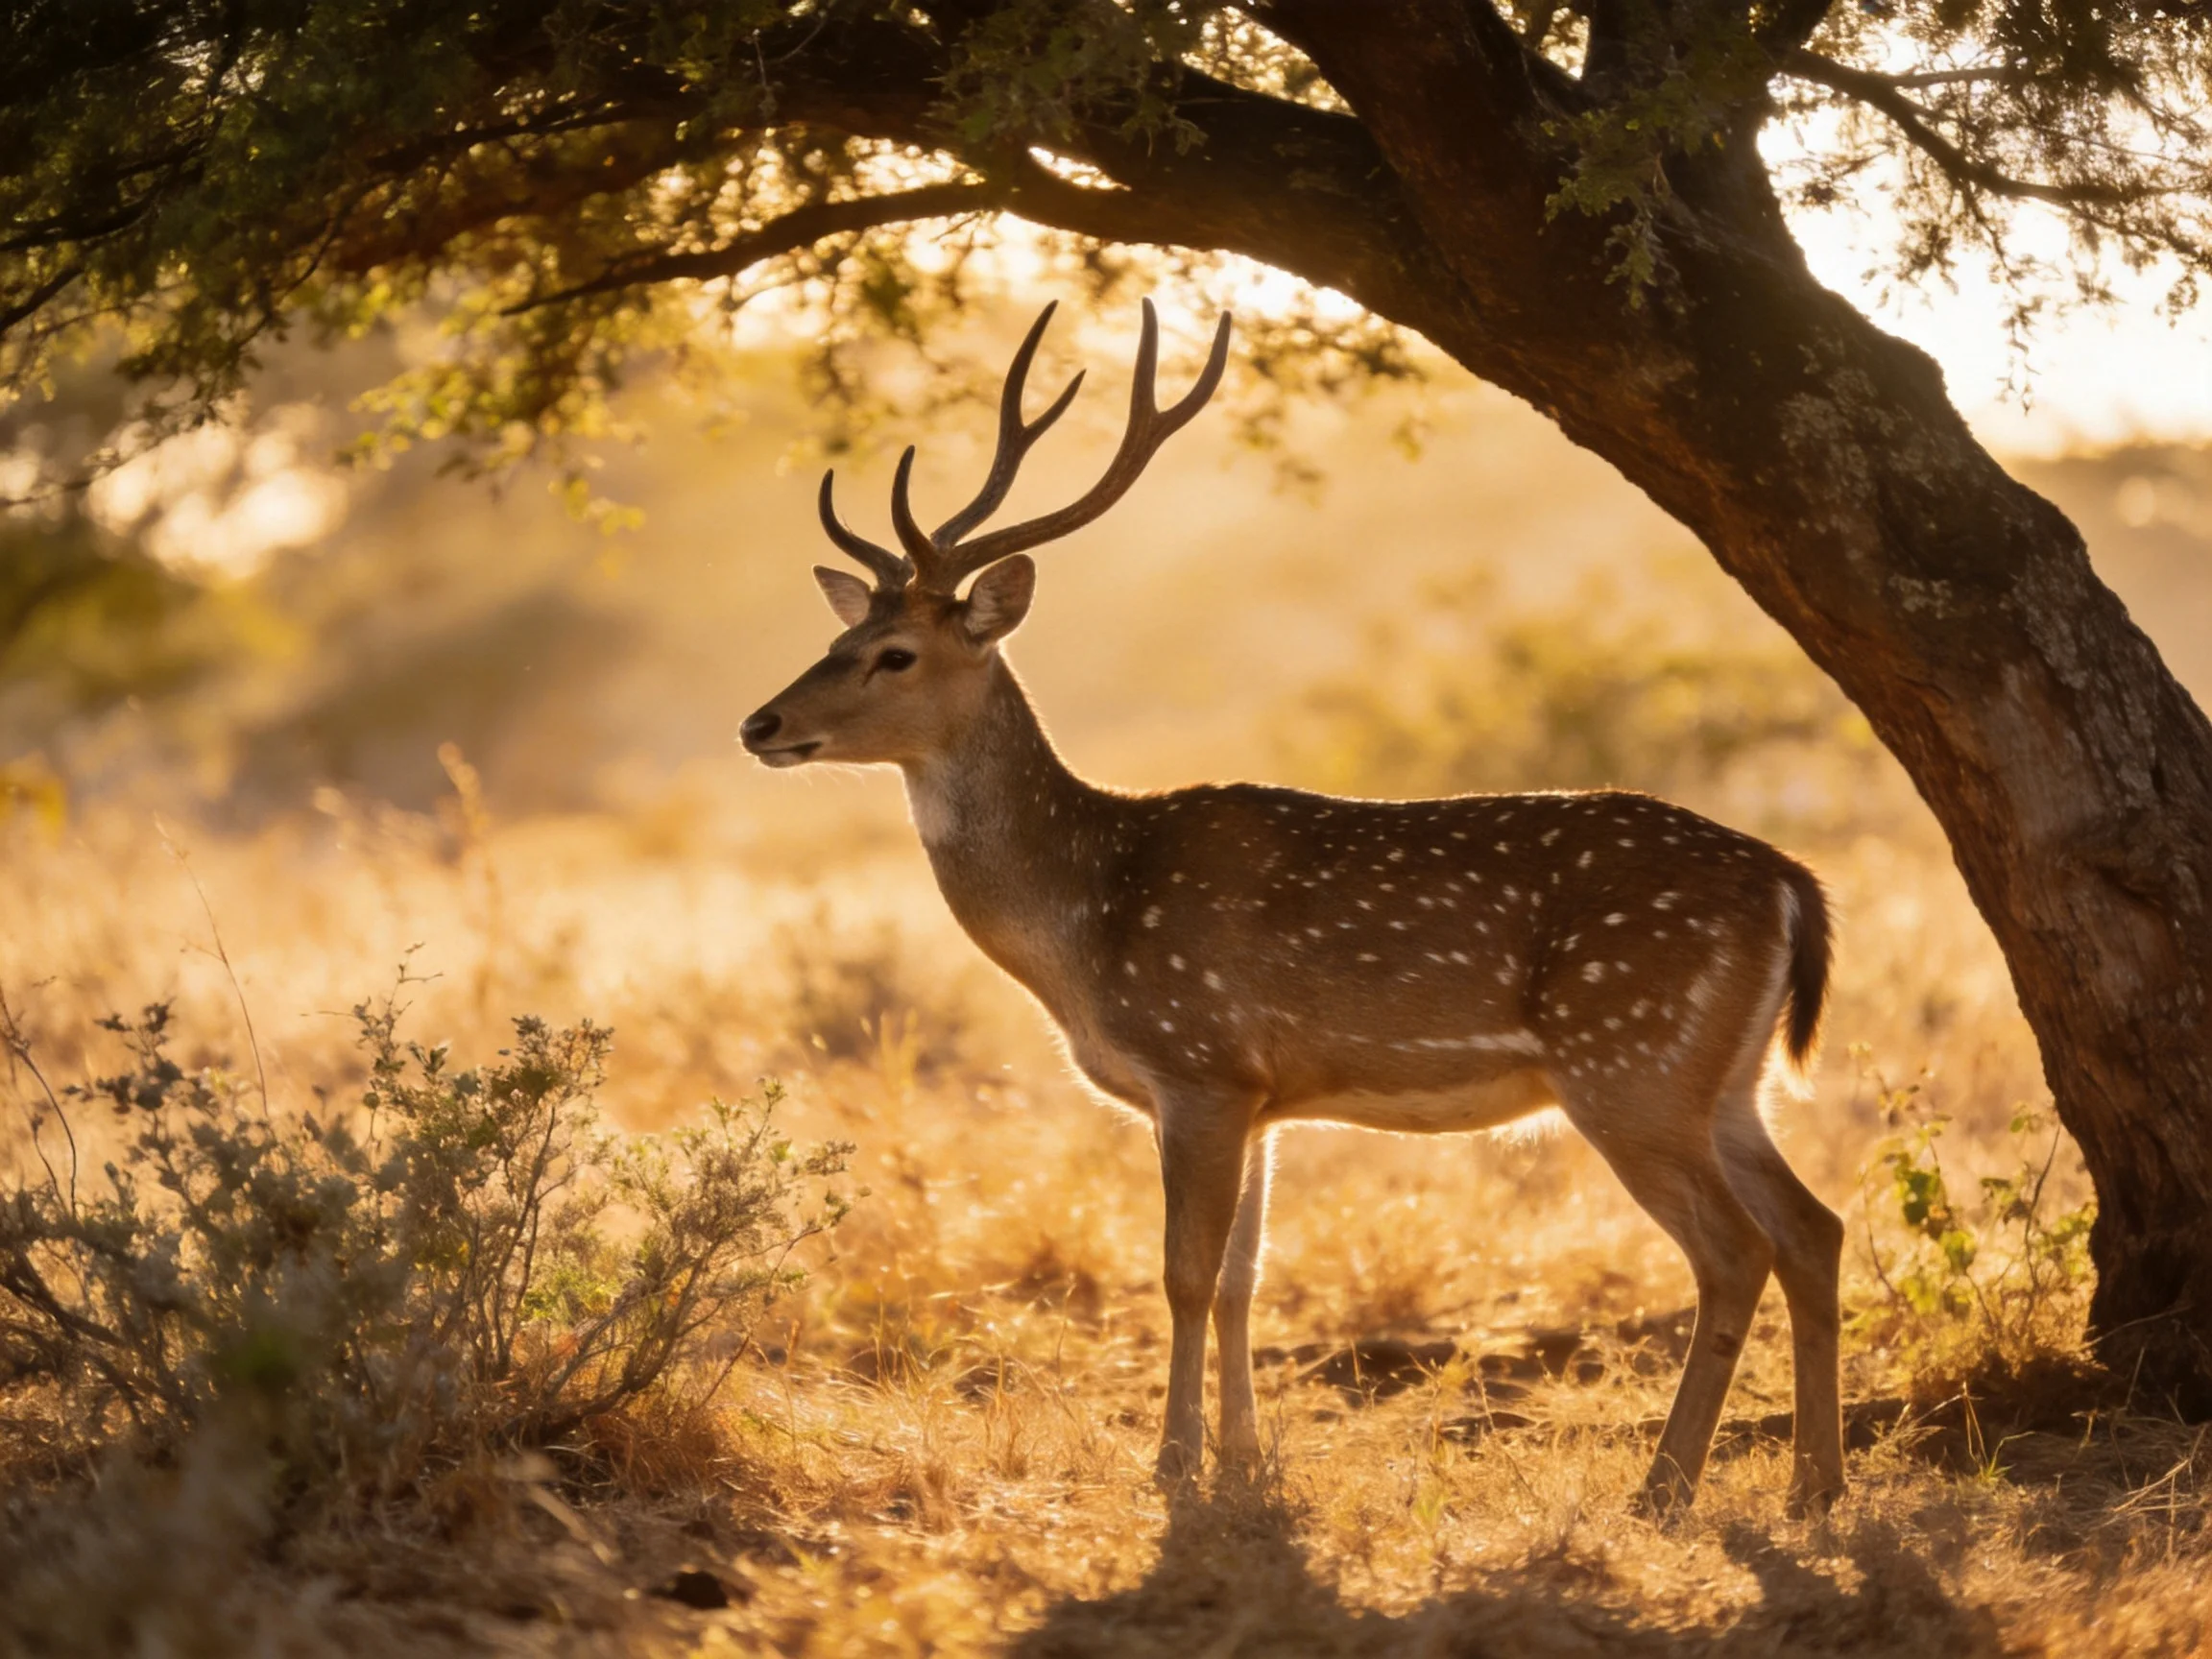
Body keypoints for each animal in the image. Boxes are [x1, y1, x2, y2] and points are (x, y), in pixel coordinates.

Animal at [740, 301, 1847, 1515]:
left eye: (894, 654)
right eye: (836, 641)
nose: (761, 723)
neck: (1086, 923)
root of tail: (1793, 885)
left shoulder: (1200, 1062)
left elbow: (1182, 1274)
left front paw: (1172, 1464)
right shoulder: (1264, 1098)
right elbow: (1242, 1279)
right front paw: (1244, 1458)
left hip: (1627, 1060)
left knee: (1733, 1251)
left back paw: (1665, 1489)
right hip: (1725, 1079)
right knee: (1815, 1227)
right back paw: (1816, 1484)